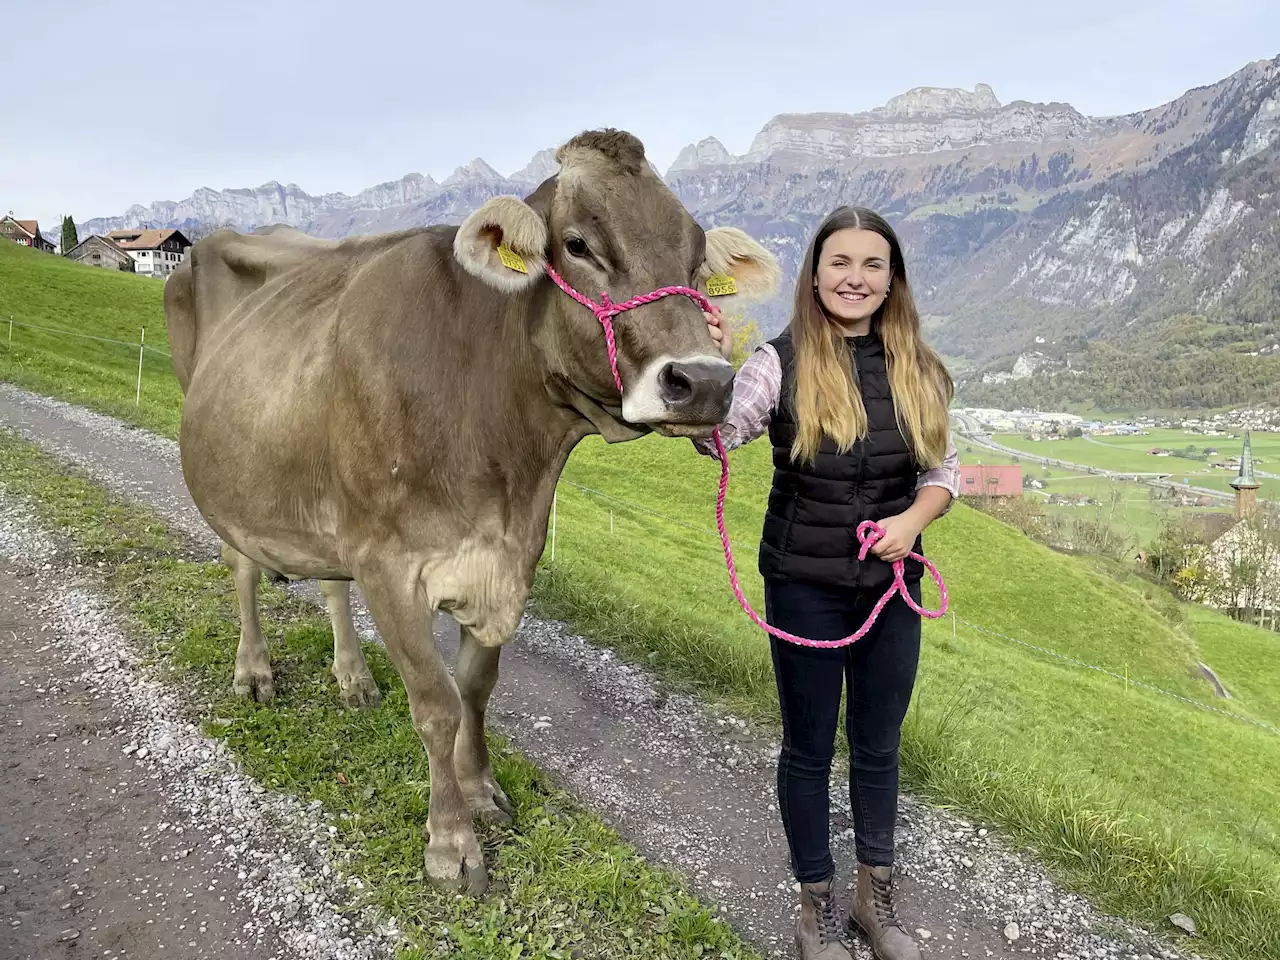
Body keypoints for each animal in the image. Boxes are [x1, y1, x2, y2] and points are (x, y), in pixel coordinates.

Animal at [160, 126, 778, 896]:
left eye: (696, 258)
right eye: (577, 244)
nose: (706, 381)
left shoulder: (509, 558)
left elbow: (476, 689)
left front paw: (481, 790)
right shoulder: (389, 564)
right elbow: (434, 704)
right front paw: (451, 843)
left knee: (328, 582)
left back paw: (352, 678)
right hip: (232, 477)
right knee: (242, 568)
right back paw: (254, 672)